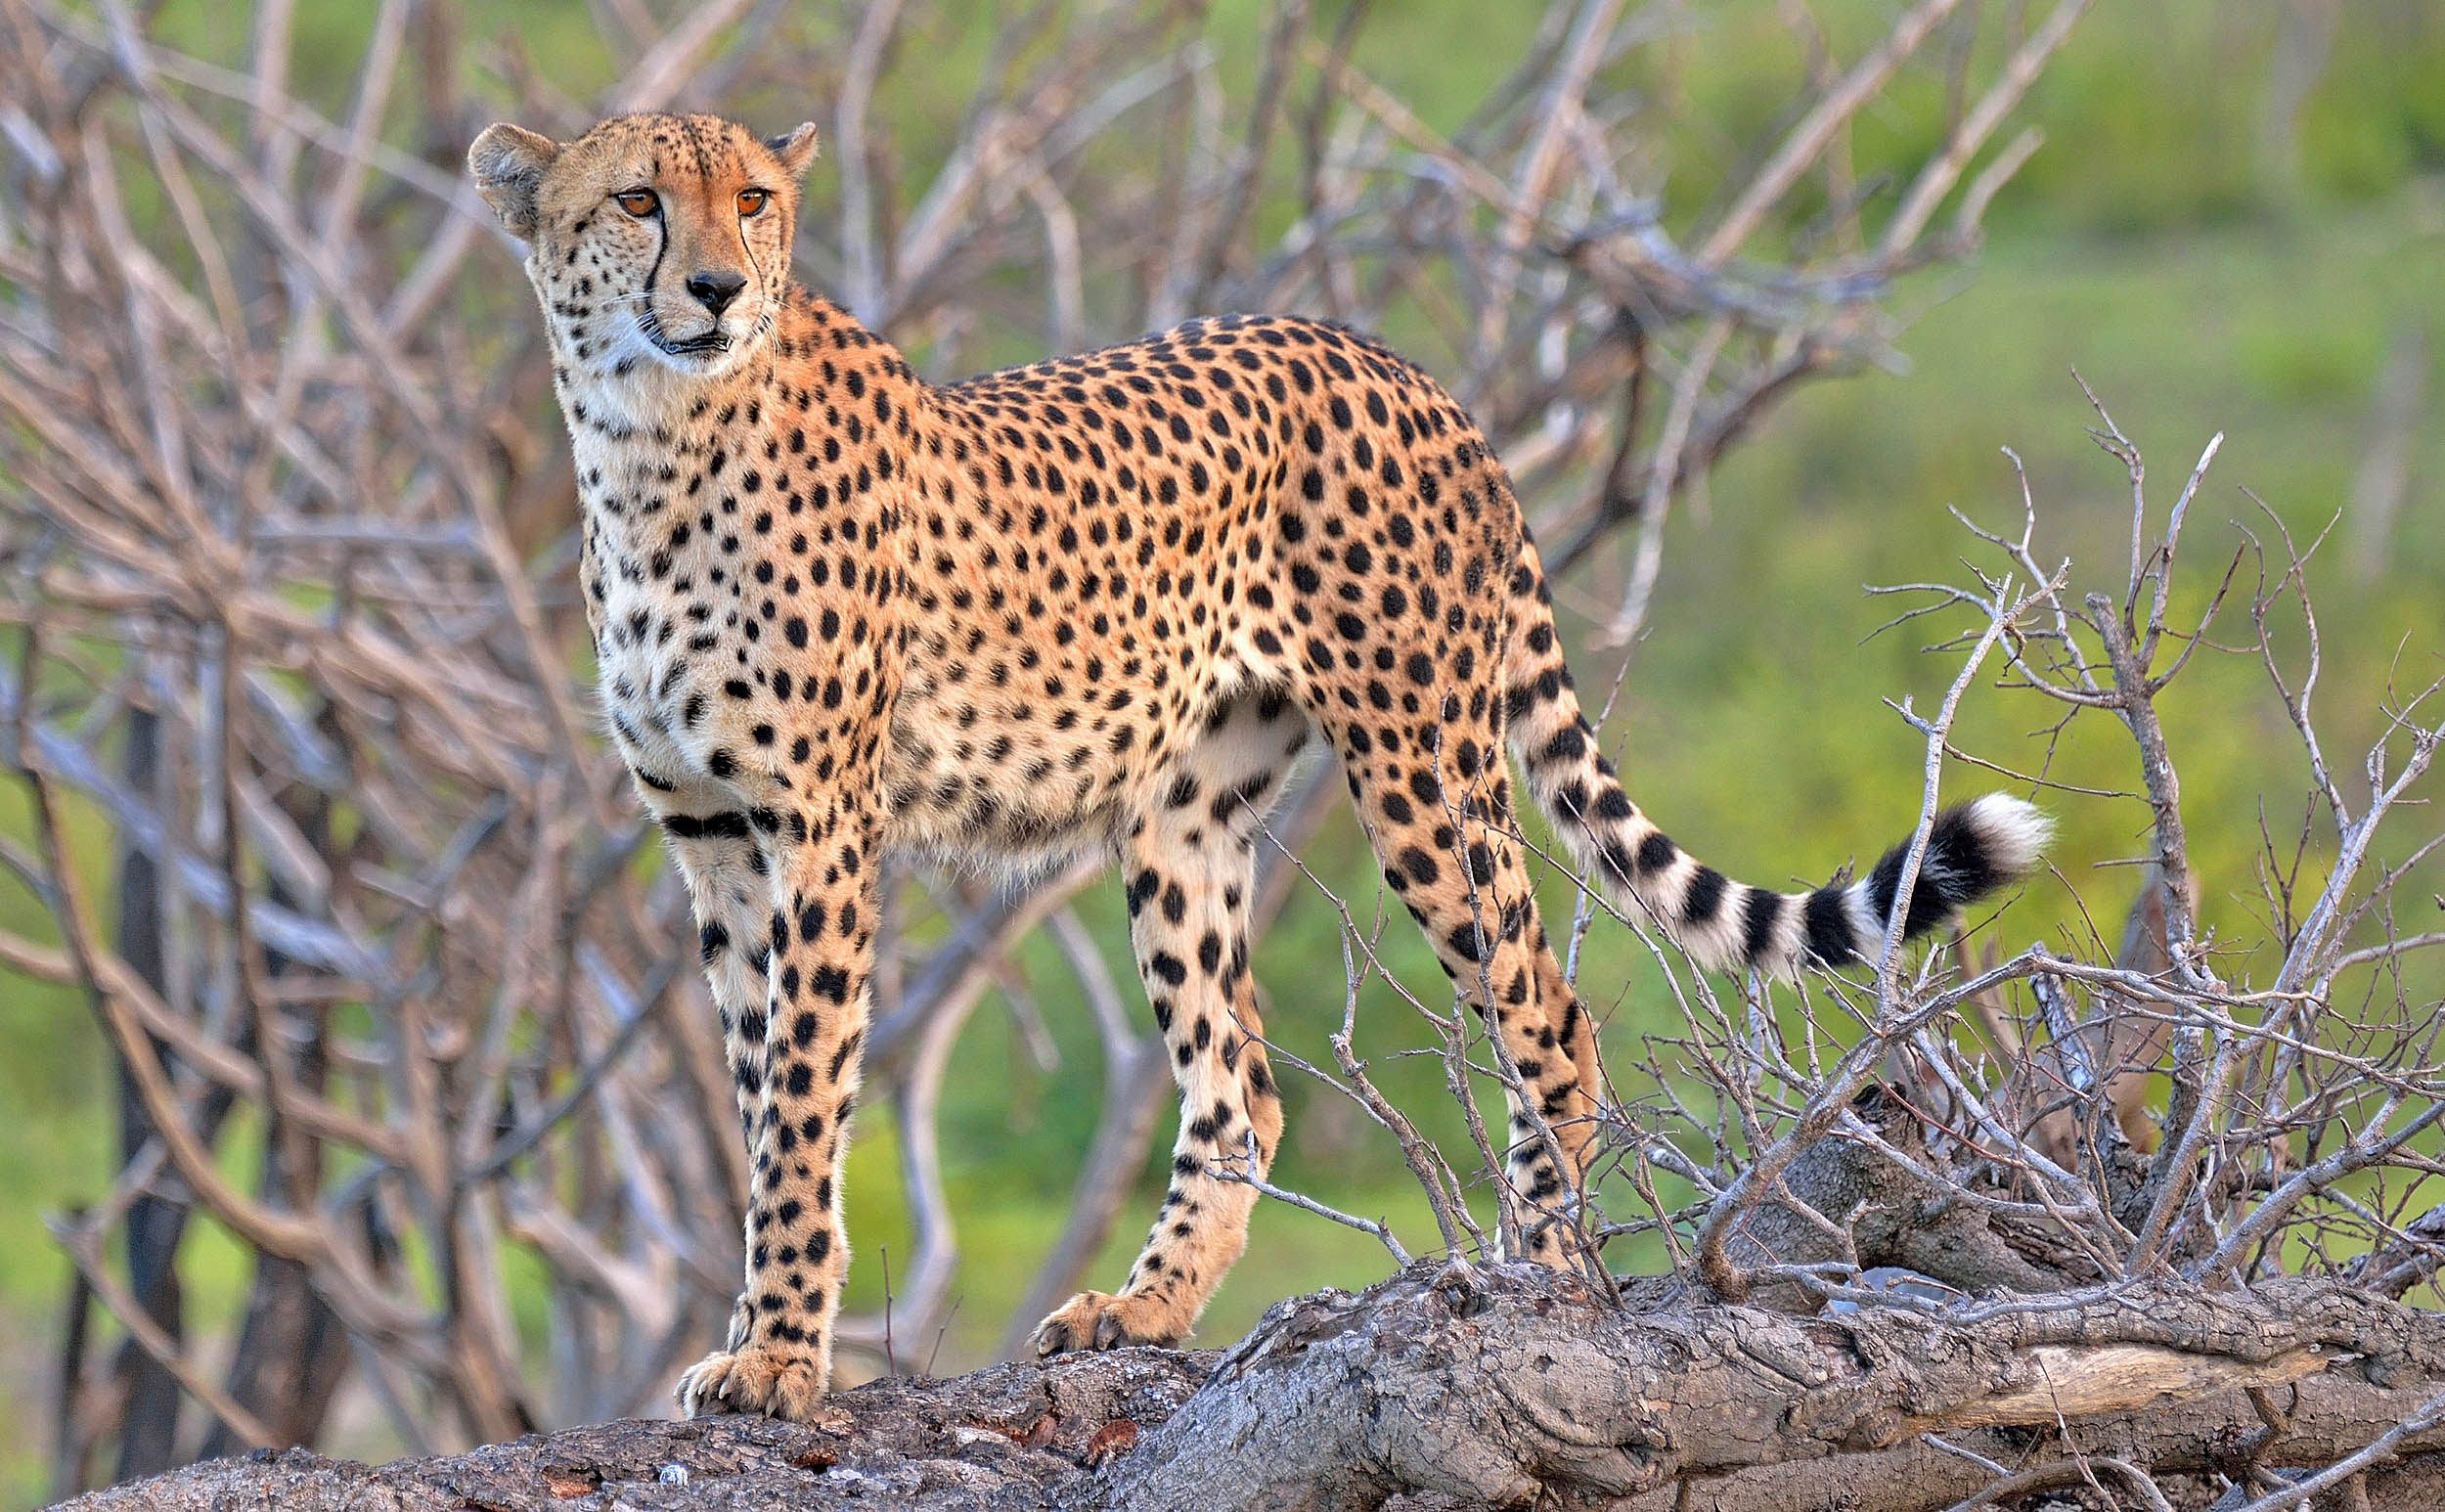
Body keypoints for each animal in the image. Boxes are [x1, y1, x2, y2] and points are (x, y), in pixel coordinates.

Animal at [468, 111, 2048, 1423]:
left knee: (1545, 1002)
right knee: (1243, 1081)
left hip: (1423, 766)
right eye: (637, 200)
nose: (718, 291)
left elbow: (798, 1106)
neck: (645, 445)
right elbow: (752, 1103)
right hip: (1182, 815)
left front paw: (785, 1360)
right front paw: (751, 1335)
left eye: (754, 199)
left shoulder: (818, 830)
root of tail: (1399, 363)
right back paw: (1143, 1307)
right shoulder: (714, 837)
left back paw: (1545, 1273)